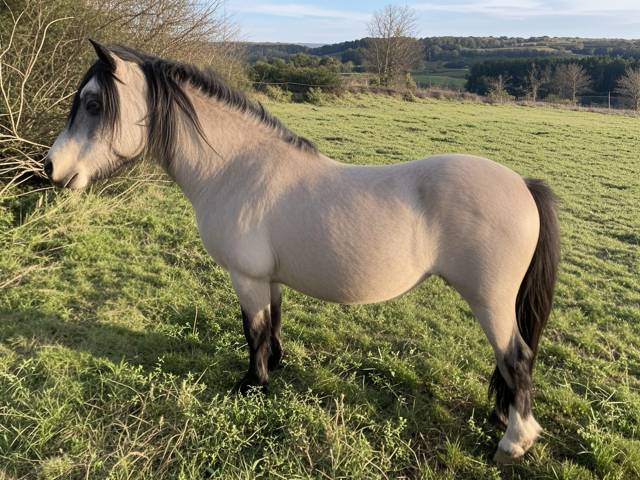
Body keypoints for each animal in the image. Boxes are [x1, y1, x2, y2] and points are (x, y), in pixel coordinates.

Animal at [45, 41, 560, 464]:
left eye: (93, 104)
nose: (51, 167)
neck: (235, 168)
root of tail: (522, 185)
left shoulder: (247, 277)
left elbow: (253, 330)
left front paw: (252, 385)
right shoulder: (269, 278)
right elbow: (273, 323)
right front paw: (274, 366)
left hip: (490, 301)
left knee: (516, 358)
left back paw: (513, 442)